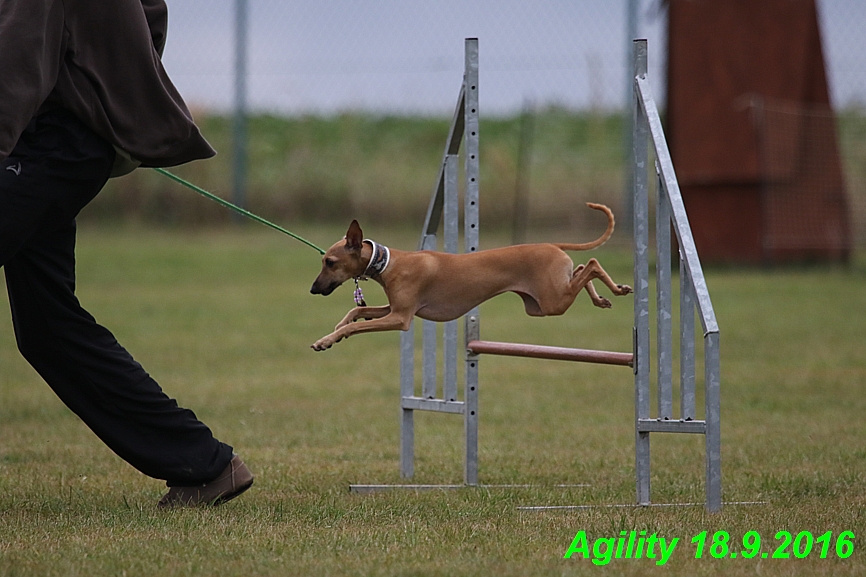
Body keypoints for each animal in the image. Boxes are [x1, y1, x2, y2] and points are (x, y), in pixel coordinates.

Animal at [308, 202, 628, 352]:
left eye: (330, 262)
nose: (313, 289)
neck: (388, 262)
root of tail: (553, 244)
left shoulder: (401, 318)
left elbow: (357, 325)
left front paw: (326, 339)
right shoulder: (394, 308)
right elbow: (355, 313)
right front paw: (335, 332)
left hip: (552, 302)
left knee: (592, 263)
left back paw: (616, 289)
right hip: (542, 303)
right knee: (581, 269)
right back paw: (602, 298)